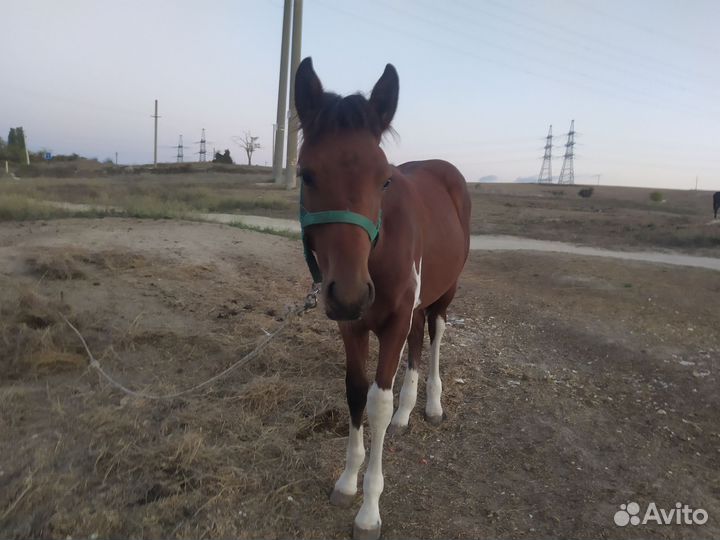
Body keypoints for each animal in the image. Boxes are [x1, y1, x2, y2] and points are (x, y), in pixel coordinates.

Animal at [295, 57, 471, 540]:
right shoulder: (352, 325)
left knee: (434, 337)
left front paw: (370, 508)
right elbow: (356, 392)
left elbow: (377, 403)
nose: (351, 293)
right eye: (305, 174)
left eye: (384, 179)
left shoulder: (391, 322)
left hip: (443, 295)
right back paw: (408, 413)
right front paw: (346, 482)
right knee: (416, 344)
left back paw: (431, 405)